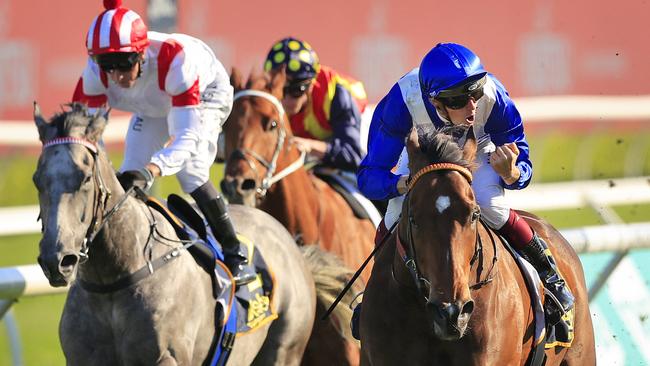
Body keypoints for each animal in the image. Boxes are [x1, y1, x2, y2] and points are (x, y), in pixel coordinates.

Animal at [32, 103, 336, 366]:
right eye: (37, 180)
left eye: (85, 178)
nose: (57, 261)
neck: (113, 280)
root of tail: (289, 241)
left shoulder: (169, 358)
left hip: (285, 348)